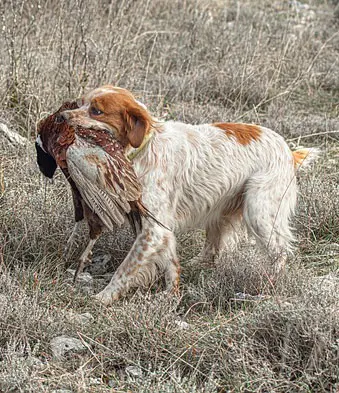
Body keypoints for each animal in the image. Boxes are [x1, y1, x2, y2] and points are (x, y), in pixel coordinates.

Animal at [59, 84, 318, 304]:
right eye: (80, 103)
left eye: (96, 111)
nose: (62, 117)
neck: (144, 148)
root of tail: (288, 150)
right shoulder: (157, 228)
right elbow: (170, 263)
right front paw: (170, 295)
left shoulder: (154, 229)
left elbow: (126, 269)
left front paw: (104, 296)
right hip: (221, 212)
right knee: (212, 249)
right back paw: (198, 264)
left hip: (260, 212)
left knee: (280, 251)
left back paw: (271, 282)